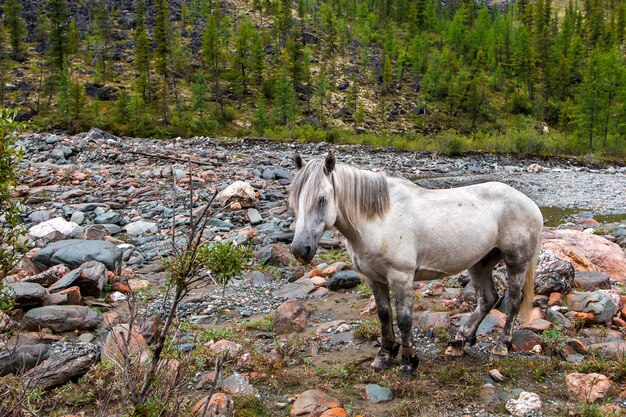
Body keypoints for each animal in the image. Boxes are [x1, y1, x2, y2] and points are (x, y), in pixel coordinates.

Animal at [288, 152, 540, 374]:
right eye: (294, 200)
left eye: (322, 199)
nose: (300, 249)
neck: (379, 219)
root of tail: (530, 204)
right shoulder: (374, 278)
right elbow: (384, 314)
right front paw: (385, 355)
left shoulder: (401, 277)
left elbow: (404, 319)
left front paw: (409, 362)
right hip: (481, 263)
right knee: (488, 298)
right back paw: (460, 339)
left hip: (516, 263)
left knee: (514, 301)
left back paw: (501, 346)